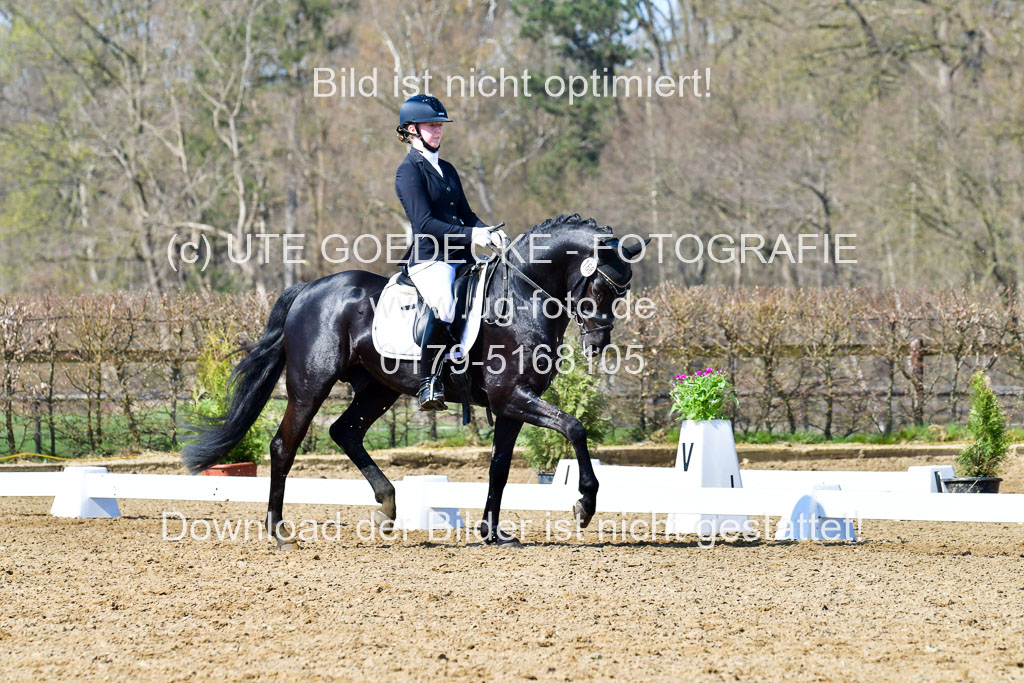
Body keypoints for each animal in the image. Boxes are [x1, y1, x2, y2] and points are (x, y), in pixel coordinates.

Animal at [182, 213, 646, 547]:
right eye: (601, 286)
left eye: (621, 291)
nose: (598, 343)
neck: (520, 298)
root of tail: (309, 289)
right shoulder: (513, 396)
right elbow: (575, 427)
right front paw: (584, 504)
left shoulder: (512, 405)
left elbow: (499, 468)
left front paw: (493, 533)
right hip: (311, 385)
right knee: (284, 446)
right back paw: (279, 531)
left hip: (379, 388)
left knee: (344, 431)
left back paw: (387, 507)